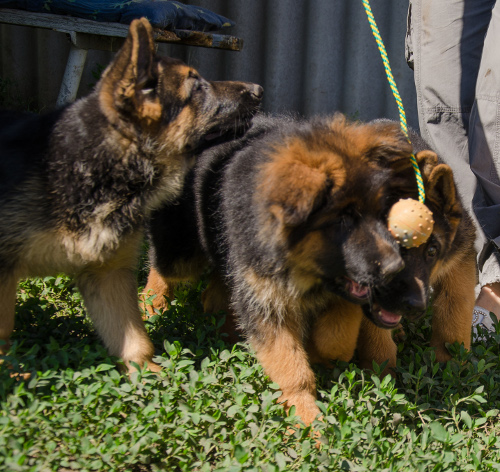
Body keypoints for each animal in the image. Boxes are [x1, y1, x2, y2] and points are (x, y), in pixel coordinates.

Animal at [0, 17, 264, 372]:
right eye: (196, 88)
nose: (259, 90)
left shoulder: (106, 274)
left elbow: (134, 340)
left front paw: (149, 375)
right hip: (179, 254)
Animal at [146, 114, 476, 424]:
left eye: (432, 251)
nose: (414, 306)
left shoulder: (459, 259)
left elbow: (454, 316)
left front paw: (451, 366)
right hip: (182, 255)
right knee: (163, 272)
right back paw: (153, 310)